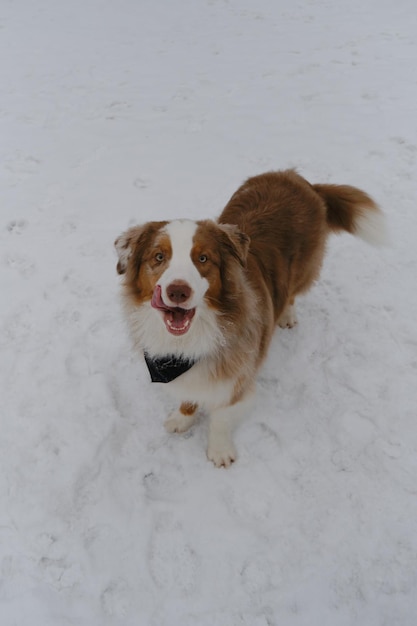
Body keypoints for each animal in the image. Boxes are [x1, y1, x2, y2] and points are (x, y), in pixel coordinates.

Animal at [115, 168, 386, 466]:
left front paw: (220, 451)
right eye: (159, 256)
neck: (191, 341)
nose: (177, 291)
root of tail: (294, 176)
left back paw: (287, 315)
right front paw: (182, 417)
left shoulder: (238, 379)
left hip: (303, 270)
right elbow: (189, 398)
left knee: (292, 293)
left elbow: (221, 417)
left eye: (203, 259)